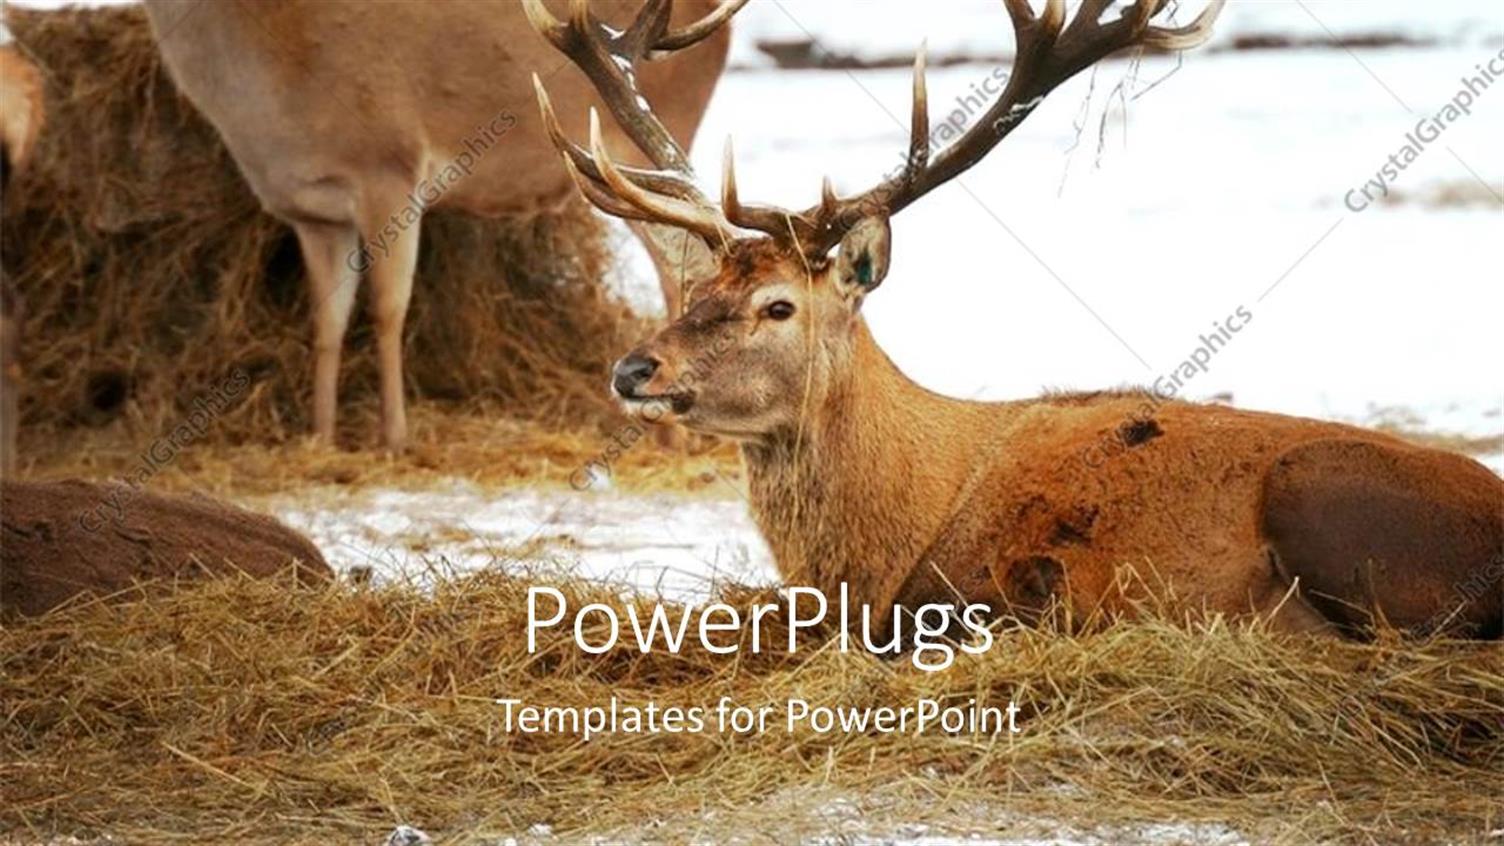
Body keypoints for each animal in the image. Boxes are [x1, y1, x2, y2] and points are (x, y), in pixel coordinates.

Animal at [140, 0, 744, 450]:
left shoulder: (390, 168)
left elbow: (387, 310)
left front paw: (394, 438)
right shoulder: (312, 214)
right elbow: (327, 321)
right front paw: (321, 435)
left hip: (645, 147)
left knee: (681, 265)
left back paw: (675, 437)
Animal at [530, 0, 1504, 639]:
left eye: (779, 305)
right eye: (696, 291)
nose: (634, 369)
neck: (882, 547)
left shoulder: (983, 592)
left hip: (1325, 495)